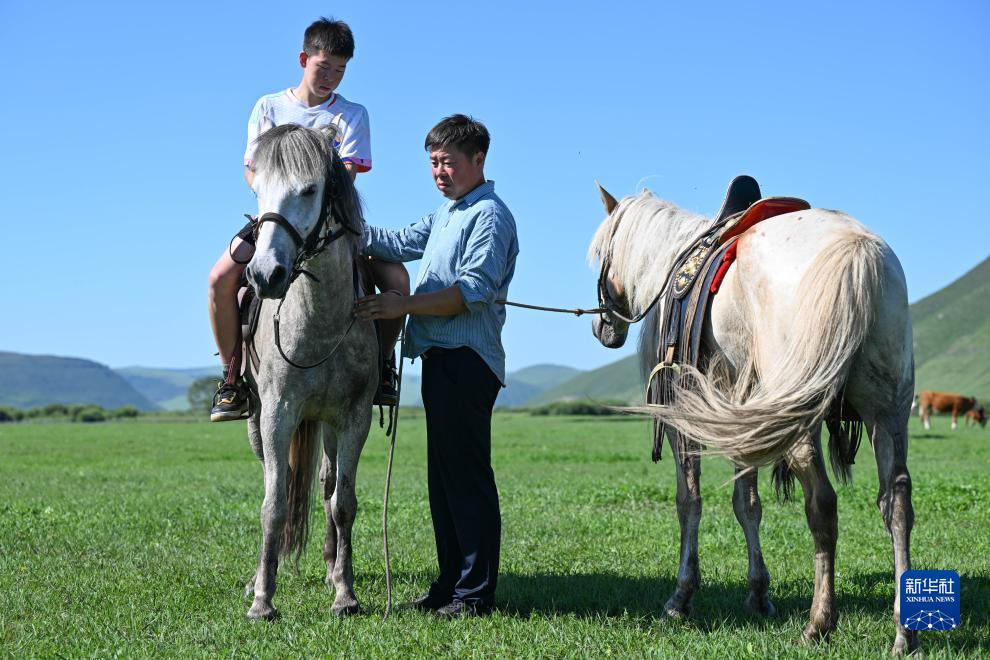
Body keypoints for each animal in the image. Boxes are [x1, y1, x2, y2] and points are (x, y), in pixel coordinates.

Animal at [242, 122, 378, 620]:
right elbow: (273, 504)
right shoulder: (277, 414)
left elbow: (344, 504)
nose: (265, 274)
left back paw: (330, 567)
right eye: (258, 188)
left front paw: (345, 593)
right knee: (275, 478)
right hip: (258, 421)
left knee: (326, 484)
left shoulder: (354, 418)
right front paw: (263, 599)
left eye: (310, 189)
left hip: (328, 425)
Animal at [588, 182, 924, 656]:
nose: (603, 329)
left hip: (801, 422)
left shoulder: (682, 417)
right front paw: (759, 594)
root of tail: (860, 252)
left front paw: (681, 598)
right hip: (887, 413)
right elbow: (747, 504)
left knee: (822, 505)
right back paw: (903, 633)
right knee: (895, 503)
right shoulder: (739, 417)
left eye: (602, 254)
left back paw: (819, 623)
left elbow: (689, 501)